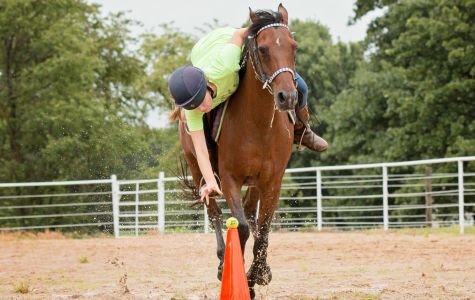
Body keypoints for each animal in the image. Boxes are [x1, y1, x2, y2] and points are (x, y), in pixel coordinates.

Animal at [175, 4, 296, 298]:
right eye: (262, 49)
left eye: (294, 47)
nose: (287, 97)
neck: (258, 124)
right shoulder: (229, 179)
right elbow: (240, 227)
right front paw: (239, 277)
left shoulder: (272, 182)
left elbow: (262, 231)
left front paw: (258, 274)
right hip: (198, 169)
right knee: (215, 214)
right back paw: (222, 260)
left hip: (255, 183)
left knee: (251, 215)